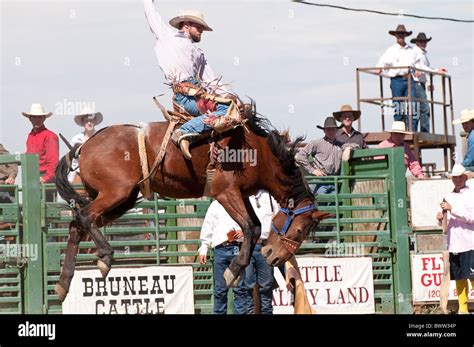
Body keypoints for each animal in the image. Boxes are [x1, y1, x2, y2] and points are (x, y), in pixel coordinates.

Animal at [53, 107, 332, 304]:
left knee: (77, 223)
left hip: (123, 198)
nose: (274, 256)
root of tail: (85, 146)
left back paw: (63, 284)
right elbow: (251, 227)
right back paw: (105, 257)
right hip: (116, 193)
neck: (258, 152)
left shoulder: (240, 194)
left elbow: (252, 224)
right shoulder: (225, 192)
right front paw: (232, 272)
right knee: (84, 216)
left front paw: (235, 269)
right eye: (299, 230)